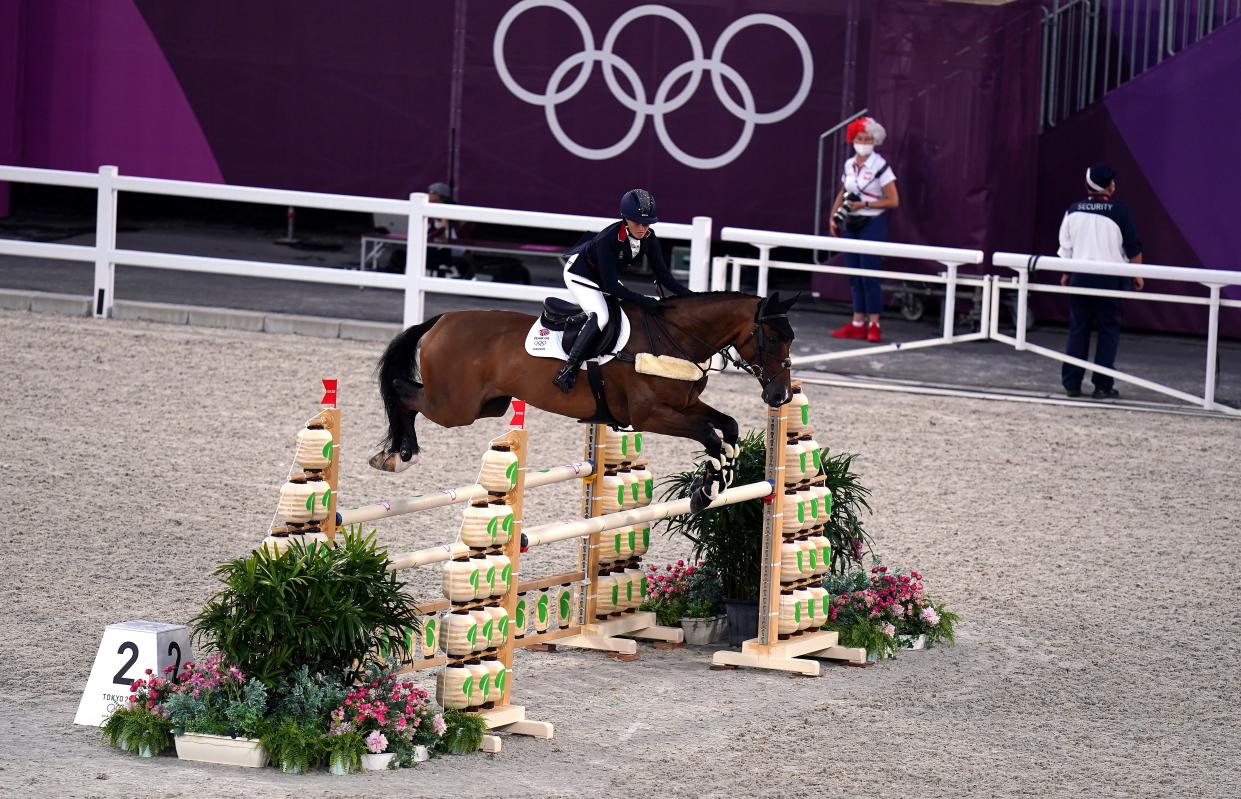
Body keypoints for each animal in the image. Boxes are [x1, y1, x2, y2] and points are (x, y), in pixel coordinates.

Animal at [367, 291, 794, 511]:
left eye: (790, 339)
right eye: (773, 338)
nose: (781, 396)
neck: (676, 338)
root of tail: (442, 319)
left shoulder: (685, 406)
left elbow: (728, 428)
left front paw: (718, 482)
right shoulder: (651, 416)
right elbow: (709, 435)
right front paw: (705, 492)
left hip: (488, 404)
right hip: (454, 408)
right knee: (402, 391)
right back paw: (398, 456)